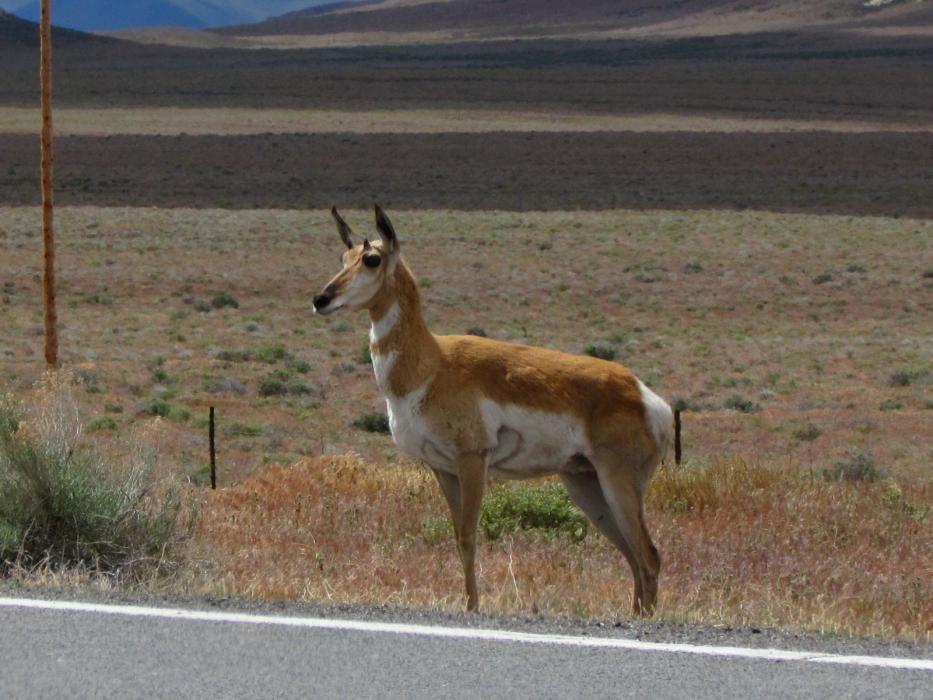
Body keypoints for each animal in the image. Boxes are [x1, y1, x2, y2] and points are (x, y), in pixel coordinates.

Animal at [313, 206, 673, 615]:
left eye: (372, 259)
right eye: (343, 257)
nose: (321, 299)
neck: (432, 366)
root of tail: (645, 395)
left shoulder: (472, 460)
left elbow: (469, 537)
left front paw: (472, 607)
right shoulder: (442, 469)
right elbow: (458, 538)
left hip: (618, 482)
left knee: (649, 556)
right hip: (585, 484)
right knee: (632, 556)